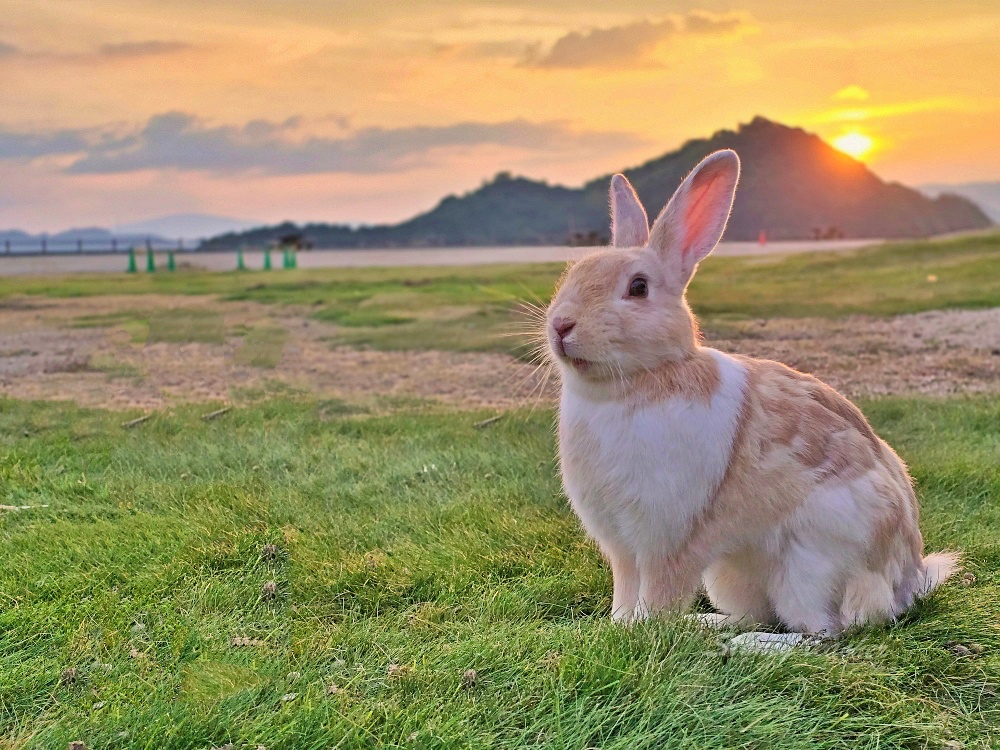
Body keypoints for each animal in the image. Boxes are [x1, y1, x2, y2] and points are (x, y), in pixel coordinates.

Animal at [548, 150, 960, 636]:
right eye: (573, 272)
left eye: (638, 287)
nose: (560, 326)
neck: (635, 382)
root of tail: (904, 584)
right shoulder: (623, 550)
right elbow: (625, 594)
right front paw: (617, 628)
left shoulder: (667, 541)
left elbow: (658, 596)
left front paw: (643, 632)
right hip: (732, 575)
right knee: (758, 615)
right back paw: (709, 625)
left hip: (810, 566)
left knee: (820, 633)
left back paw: (740, 643)